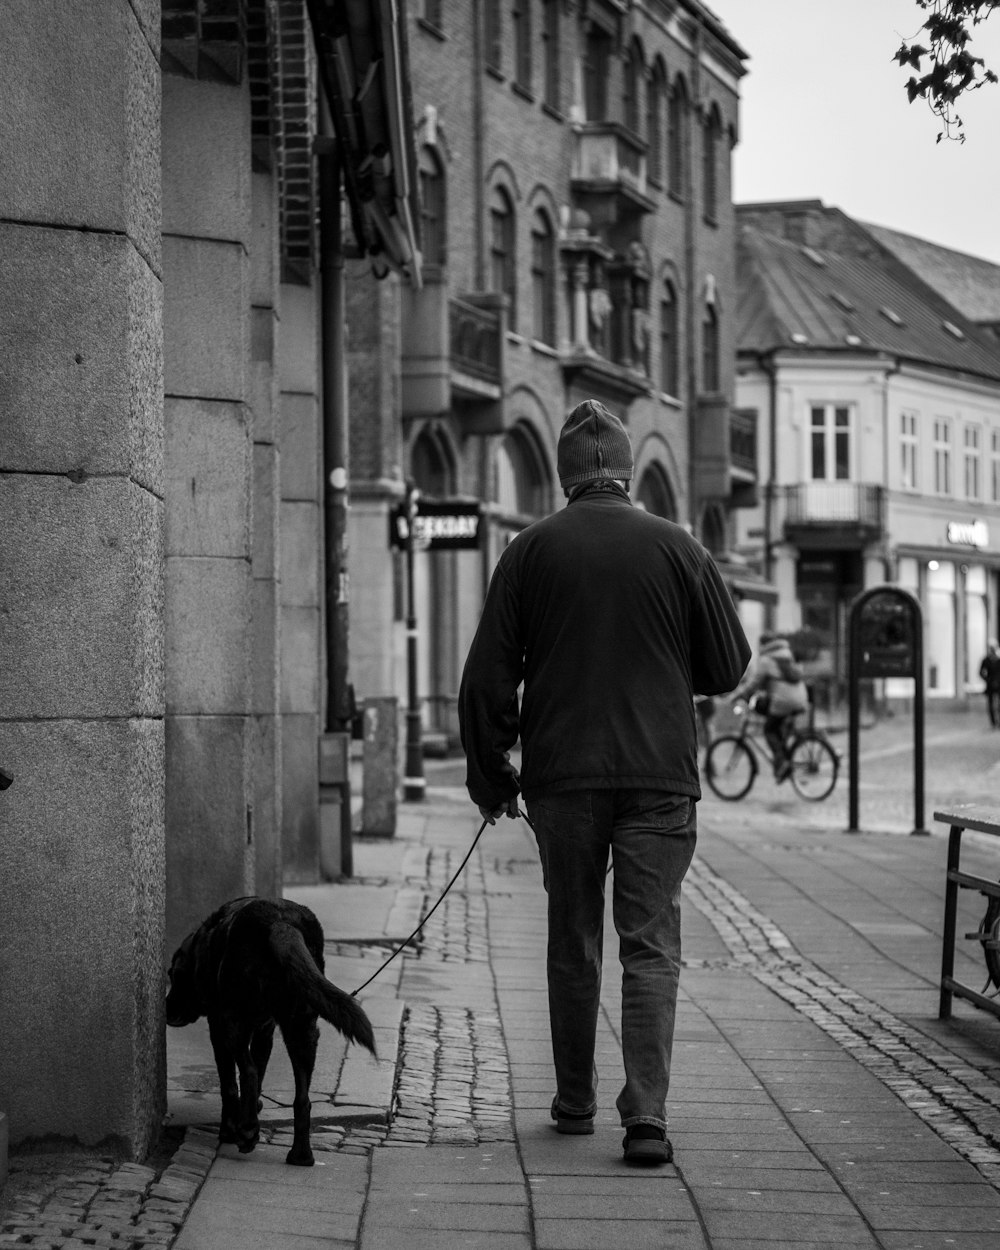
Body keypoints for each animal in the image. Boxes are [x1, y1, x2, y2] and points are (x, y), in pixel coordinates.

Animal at [166, 895, 377, 1165]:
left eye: (173, 975)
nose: (166, 1008)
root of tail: (281, 922)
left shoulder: (218, 1026)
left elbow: (230, 1084)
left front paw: (230, 1128)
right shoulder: (265, 1031)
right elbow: (261, 1070)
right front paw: (250, 1110)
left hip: (235, 1021)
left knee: (248, 1072)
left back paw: (247, 1133)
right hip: (302, 1029)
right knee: (302, 1099)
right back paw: (301, 1155)